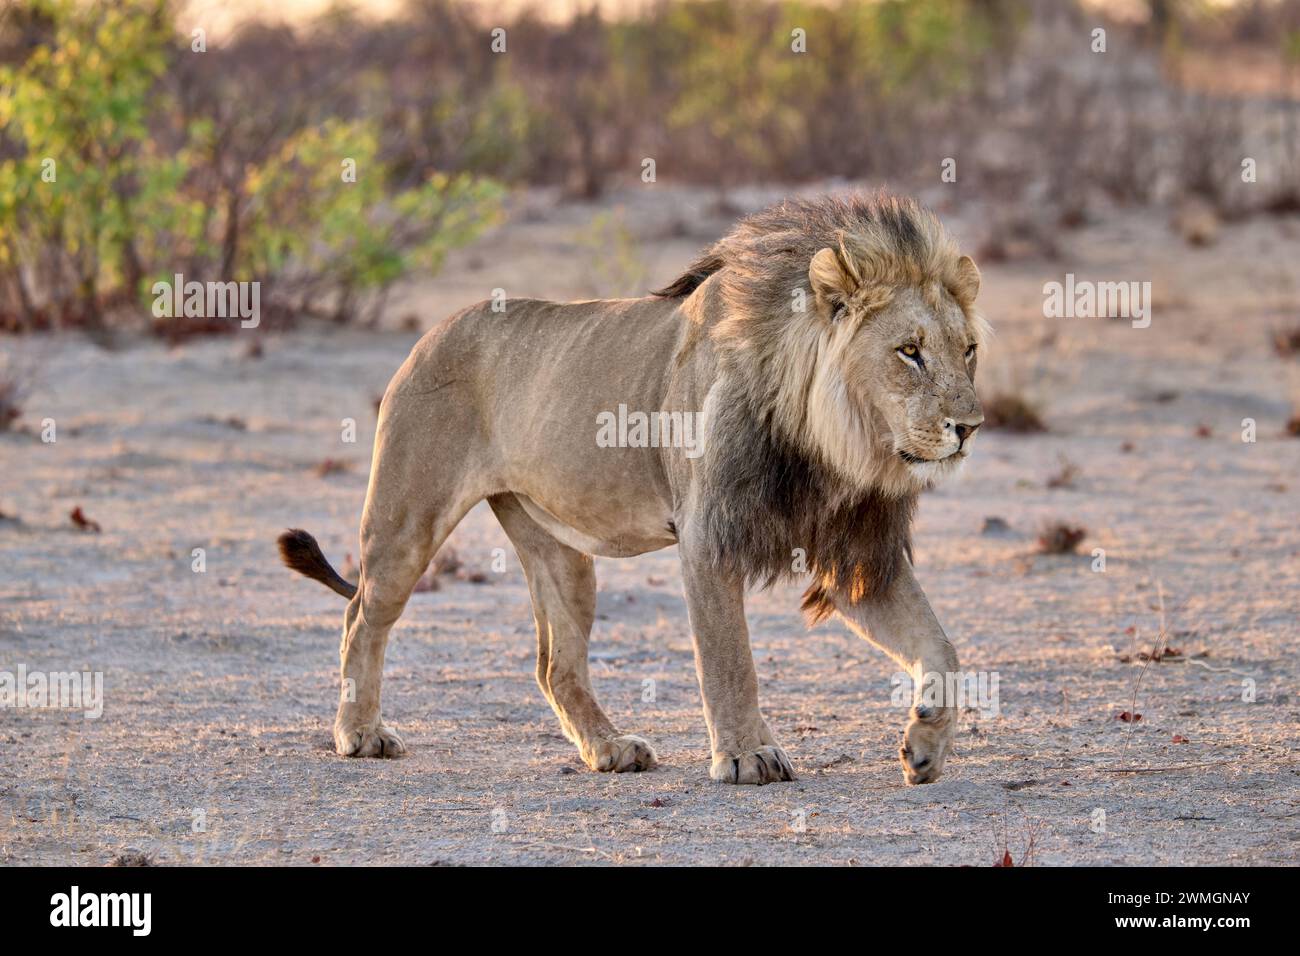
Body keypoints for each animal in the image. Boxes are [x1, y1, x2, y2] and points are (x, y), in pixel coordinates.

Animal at [276, 192, 982, 785]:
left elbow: (942, 649)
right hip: (406, 519)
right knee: (361, 615)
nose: (971, 426)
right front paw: (747, 756)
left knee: (555, 665)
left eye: (968, 349)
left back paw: (610, 750)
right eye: (910, 351)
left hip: (555, 547)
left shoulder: (852, 552)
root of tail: (428, 334)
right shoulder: (706, 536)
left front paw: (924, 743)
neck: (829, 443)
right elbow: (730, 660)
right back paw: (360, 734)